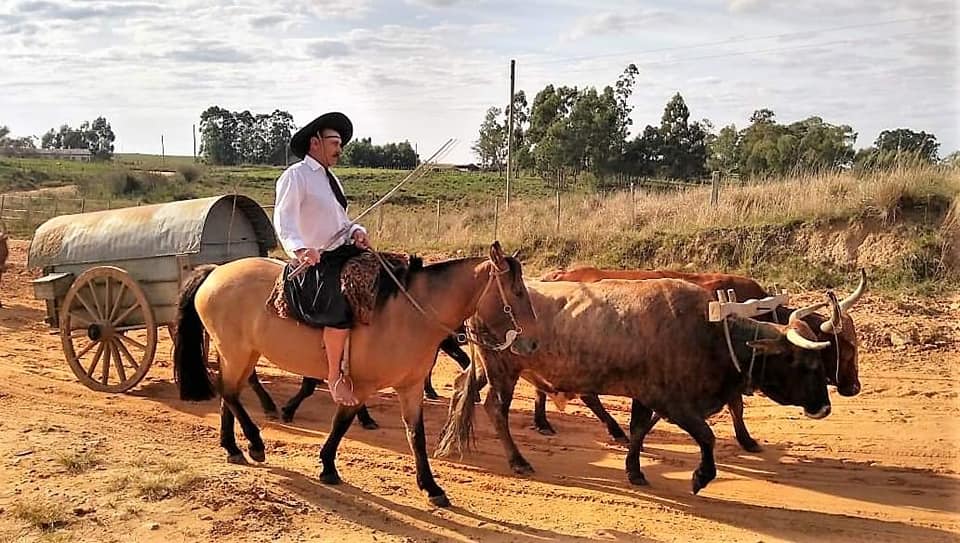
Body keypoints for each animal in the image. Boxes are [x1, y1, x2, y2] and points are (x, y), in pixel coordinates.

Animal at [174, 244, 540, 508]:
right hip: (236, 352)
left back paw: (233, 447)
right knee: (229, 392)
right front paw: (327, 466)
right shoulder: (360, 385)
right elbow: (341, 423)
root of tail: (215, 271)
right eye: (518, 292)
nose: (533, 343)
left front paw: (431, 487)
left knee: (229, 394)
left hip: (240, 354)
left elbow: (416, 437)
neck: (410, 313)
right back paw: (255, 442)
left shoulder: (410, 389)